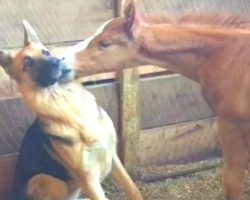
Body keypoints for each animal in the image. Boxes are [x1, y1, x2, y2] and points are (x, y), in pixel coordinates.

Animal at [0, 20, 143, 200]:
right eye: (28, 63)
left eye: (45, 52)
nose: (57, 61)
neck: (69, 105)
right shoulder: (88, 179)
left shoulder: (113, 157)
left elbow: (132, 187)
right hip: (50, 181)